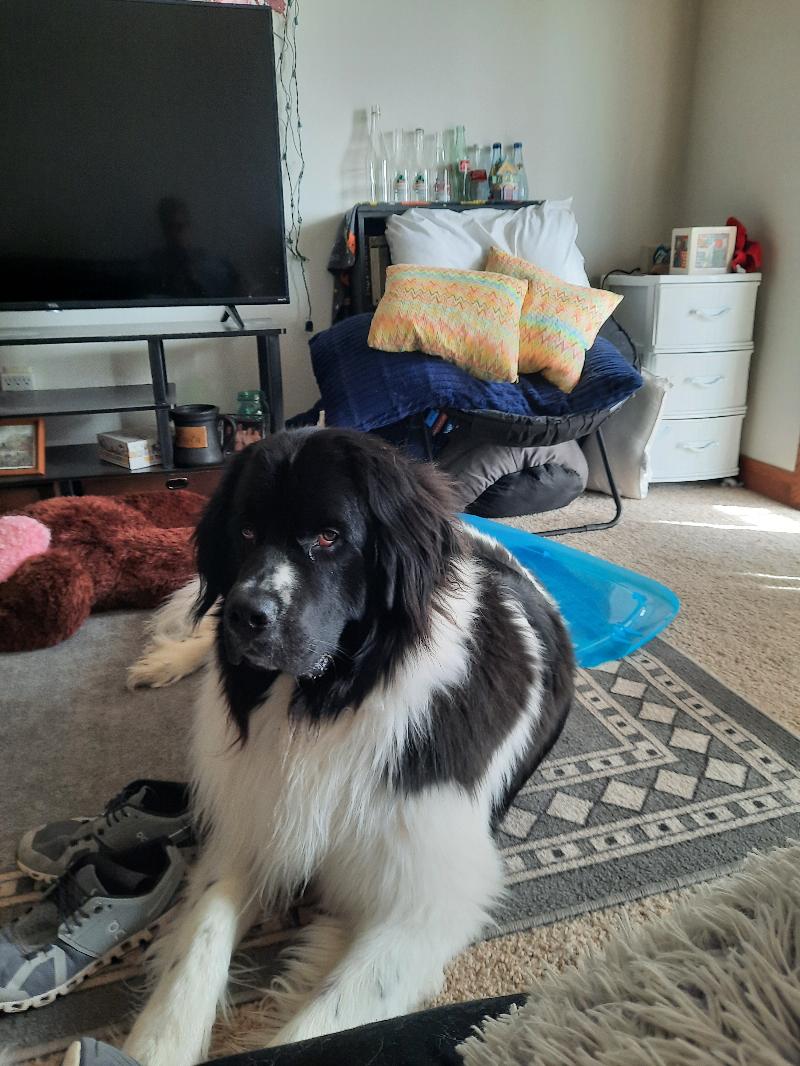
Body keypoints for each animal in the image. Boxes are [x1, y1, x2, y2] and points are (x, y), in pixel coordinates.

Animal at [121, 428, 574, 1066]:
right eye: (246, 532)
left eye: (329, 538)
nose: (245, 614)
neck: (328, 702)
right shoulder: (254, 816)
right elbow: (201, 941)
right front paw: (154, 1043)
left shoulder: (427, 900)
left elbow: (321, 1029)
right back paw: (167, 661)